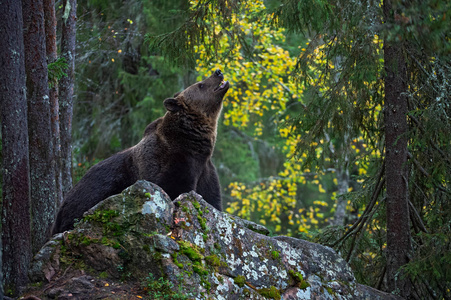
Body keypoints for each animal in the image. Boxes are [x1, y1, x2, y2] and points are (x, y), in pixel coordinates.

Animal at [52, 69, 230, 233]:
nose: (218, 72)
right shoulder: (174, 162)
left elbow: (212, 199)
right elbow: (173, 188)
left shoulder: (205, 170)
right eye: (200, 85)